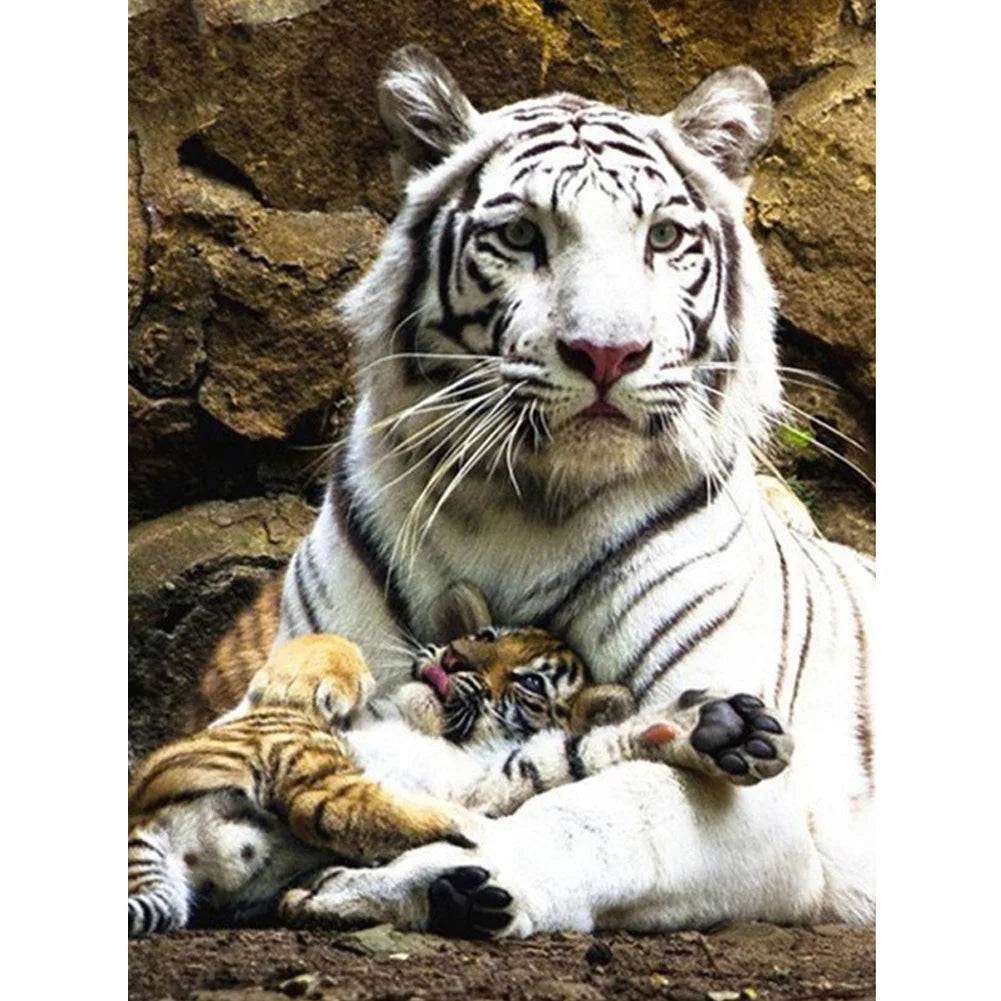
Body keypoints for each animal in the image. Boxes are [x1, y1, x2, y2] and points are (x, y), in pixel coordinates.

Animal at [131, 583, 792, 937]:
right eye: (487, 636)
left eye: (529, 682)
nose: (453, 657)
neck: (425, 729)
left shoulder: (485, 779)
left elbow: (568, 753)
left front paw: (719, 732)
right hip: (292, 749)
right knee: (333, 807)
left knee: (337, 818)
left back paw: (453, 894)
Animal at [199, 46, 874, 938]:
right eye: (520, 235)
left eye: (663, 237)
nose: (607, 353)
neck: (523, 507)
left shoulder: (759, 804)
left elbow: (592, 816)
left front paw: (405, 879)